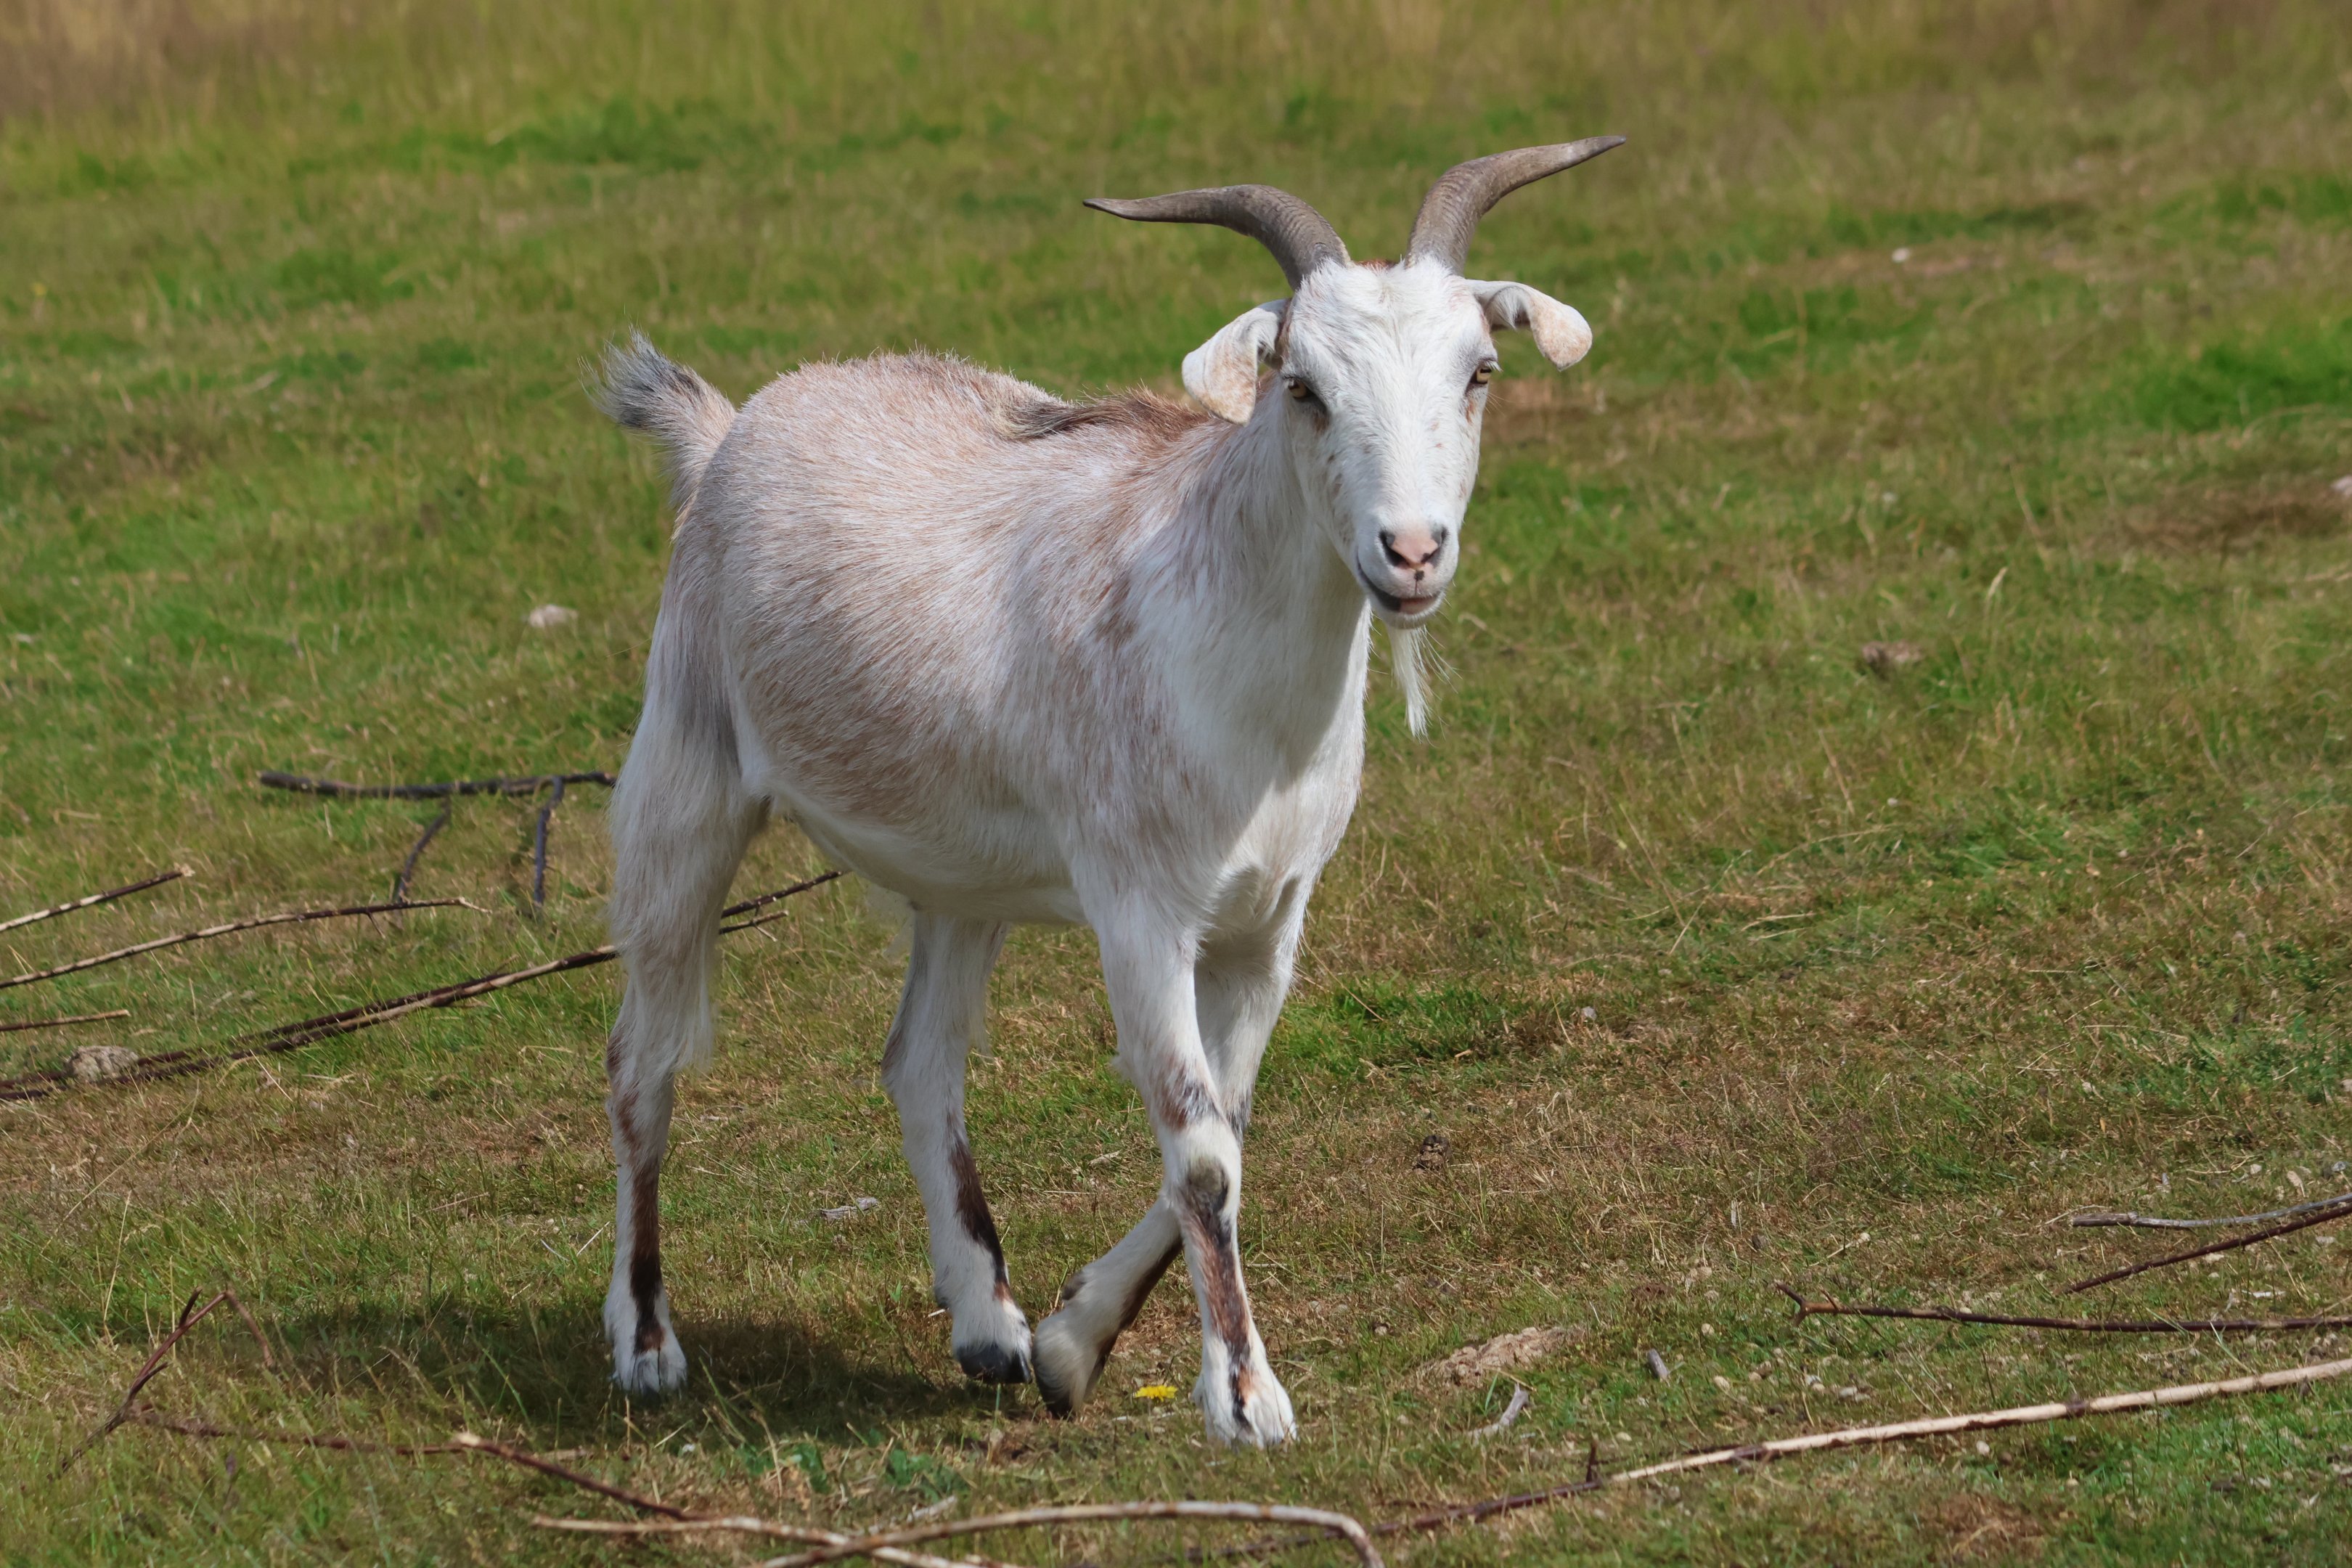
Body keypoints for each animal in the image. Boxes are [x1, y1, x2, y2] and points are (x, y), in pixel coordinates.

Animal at [592, 137, 1621, 1446]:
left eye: (1480, 372)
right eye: (1304, 388)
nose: (1411, 553)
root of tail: (729, 430)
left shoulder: (1271, 919)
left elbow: (1228, 1119)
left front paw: (1071, 1345)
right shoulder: (1141, 906)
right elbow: (1201, 1146)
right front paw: (1246, 1397)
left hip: (961, 876)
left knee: (920, 1058)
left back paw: (986, 1324)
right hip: (684, 773)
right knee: (645, 1060)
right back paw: (646, 1342)